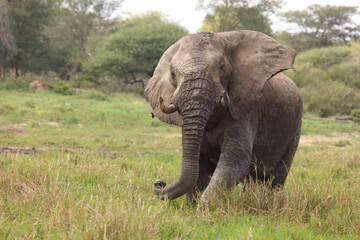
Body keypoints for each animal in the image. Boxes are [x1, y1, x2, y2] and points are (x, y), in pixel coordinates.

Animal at [145, 30, 302, 204]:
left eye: (221, 67)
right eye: (172, 73)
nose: (159, 182)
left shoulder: (245, 110)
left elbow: (235, 163)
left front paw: (203, 210)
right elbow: (199, 167)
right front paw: (190, 208)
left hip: (295, 129)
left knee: (276, 179)